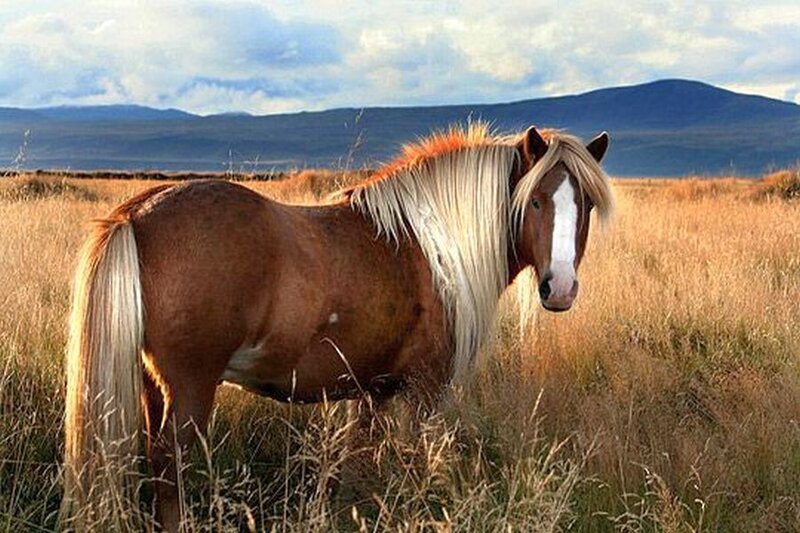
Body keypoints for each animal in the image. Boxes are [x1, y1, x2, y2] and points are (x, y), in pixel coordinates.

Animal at [60, 123, 613, 531]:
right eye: (535, 200)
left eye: (585, 204)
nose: (560, 287)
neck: (433, 246)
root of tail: (136, 214)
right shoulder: (424, 391)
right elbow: (413, 466)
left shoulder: (373, 391)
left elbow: (355, 468)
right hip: (191, 388)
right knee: (169, 466)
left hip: (153, 386)